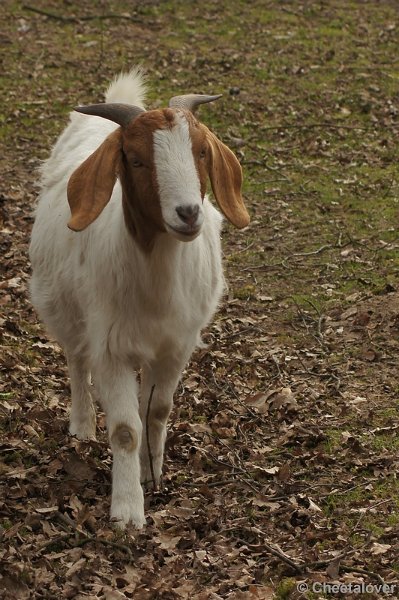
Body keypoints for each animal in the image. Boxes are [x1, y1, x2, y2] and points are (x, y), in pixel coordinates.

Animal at [29, 70, 250, 528]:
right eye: (134, 159)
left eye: (202, 151)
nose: (188, 213)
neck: (156, 282)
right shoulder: (110, 348)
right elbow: (125, 430)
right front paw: (128, 511)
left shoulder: (176, 346)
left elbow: (157, 411)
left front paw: (153, 475)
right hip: (63, 308)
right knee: (75, 359)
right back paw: (81, 424)